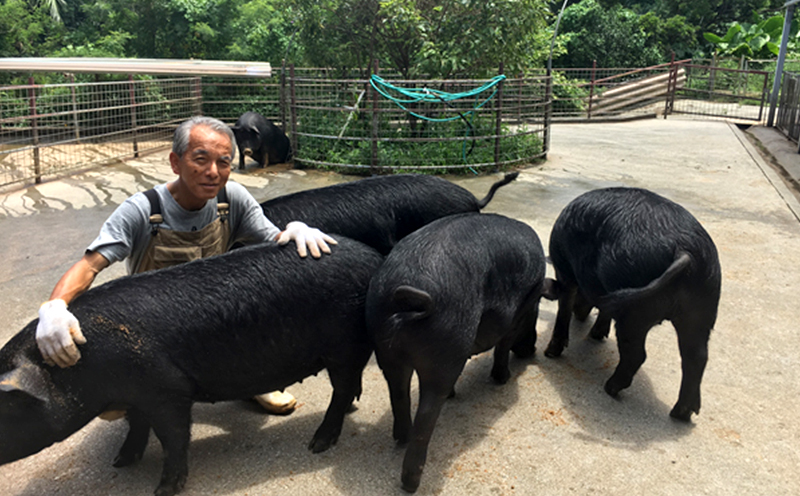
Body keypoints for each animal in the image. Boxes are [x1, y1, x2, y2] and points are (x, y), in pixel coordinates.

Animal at [0, 238, 384, 494]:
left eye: (6, 407)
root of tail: (374, 258)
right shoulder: (139, 395)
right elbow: (137, 426)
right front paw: (122, 461)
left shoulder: (168, 388)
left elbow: (173, 437)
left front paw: (163, 489)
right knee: (349, 385)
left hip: (343, 344)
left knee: (342, 387)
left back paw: (318, 443)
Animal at [366, 213, 548, 492]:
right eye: (535, 314)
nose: (531, 351)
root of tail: (407, 300)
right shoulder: (517, 313)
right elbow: (503, 345)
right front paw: (502, 379)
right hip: (446, 347)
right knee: (427, 413)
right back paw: (411, 483)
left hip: (386, 350)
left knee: (399, 393)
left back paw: (402, 437)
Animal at [548, 188, 720, 420]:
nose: (581, 314)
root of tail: (685, 251)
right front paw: (596, 335)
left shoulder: (564, 270)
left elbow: (564, 307)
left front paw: (550, 353)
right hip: (702, 308)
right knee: (696, 356)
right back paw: (681, 414)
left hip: (635, 313)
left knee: (638, 354)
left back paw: (610, 388)